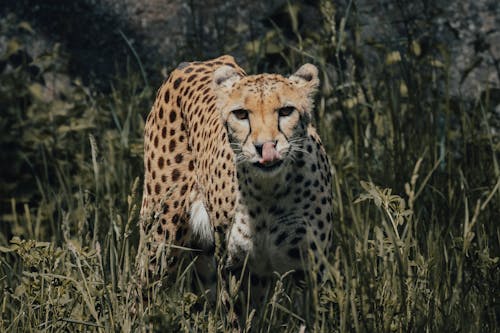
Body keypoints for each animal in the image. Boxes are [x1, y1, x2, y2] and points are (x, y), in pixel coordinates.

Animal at [139, 54, 334, 294]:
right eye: (241, 114)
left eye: (286, 111)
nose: (265, 147)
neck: (268, 192)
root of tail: (197, 62)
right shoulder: (237, 268)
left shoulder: (308, 269)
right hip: (160, 237)